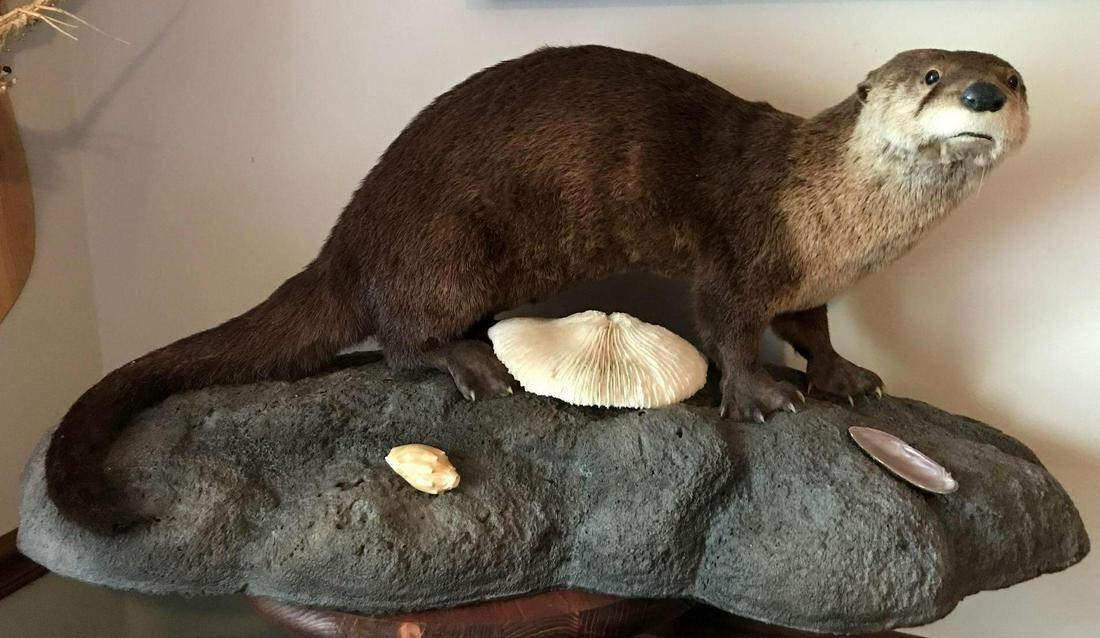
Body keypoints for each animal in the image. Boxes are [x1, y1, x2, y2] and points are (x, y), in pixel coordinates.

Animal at [46, 46, 1029, 534]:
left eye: (1011, 77)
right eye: (931, 77)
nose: (984, 92)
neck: (828, 215)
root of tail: (350, 231)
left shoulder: (807, 280)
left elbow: (813, 329)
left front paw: (844, 377)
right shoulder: (738, 249)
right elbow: (727, 326)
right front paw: (761, 394)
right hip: (443, 245)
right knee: (396, 335)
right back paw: (470, 365)